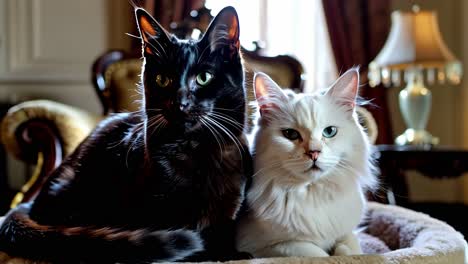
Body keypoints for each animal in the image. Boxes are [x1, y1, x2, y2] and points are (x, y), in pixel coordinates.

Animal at [0, 6, 252, 264]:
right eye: (163, 79)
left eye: (204, 78)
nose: (179, 102)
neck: (195, 150)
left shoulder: (230, 203)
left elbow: (223, 231)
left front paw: (230, 253)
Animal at [236, 69, 378, 256]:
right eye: (291, 134)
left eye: (330, 131)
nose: (314, 152)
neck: (313, 193)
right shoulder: (265, 246)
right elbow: (318, 254)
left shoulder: (347, 232)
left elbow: (350, 249)